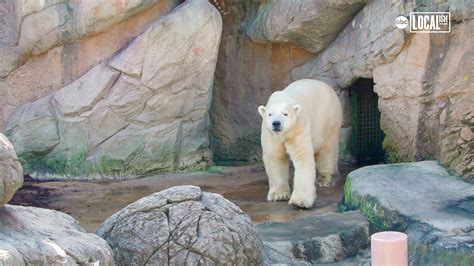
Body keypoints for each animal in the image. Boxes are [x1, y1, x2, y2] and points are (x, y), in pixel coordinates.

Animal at [258, 80, 342, 209]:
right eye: (270, 114)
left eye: (285, 114)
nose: (276, 123)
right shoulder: (270, 134)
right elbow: (275, 157)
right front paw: (279, 195)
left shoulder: (299, 126)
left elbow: (302, 157)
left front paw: (300, 201)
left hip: (329, 119)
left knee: (327, 150)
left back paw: (325, 180)